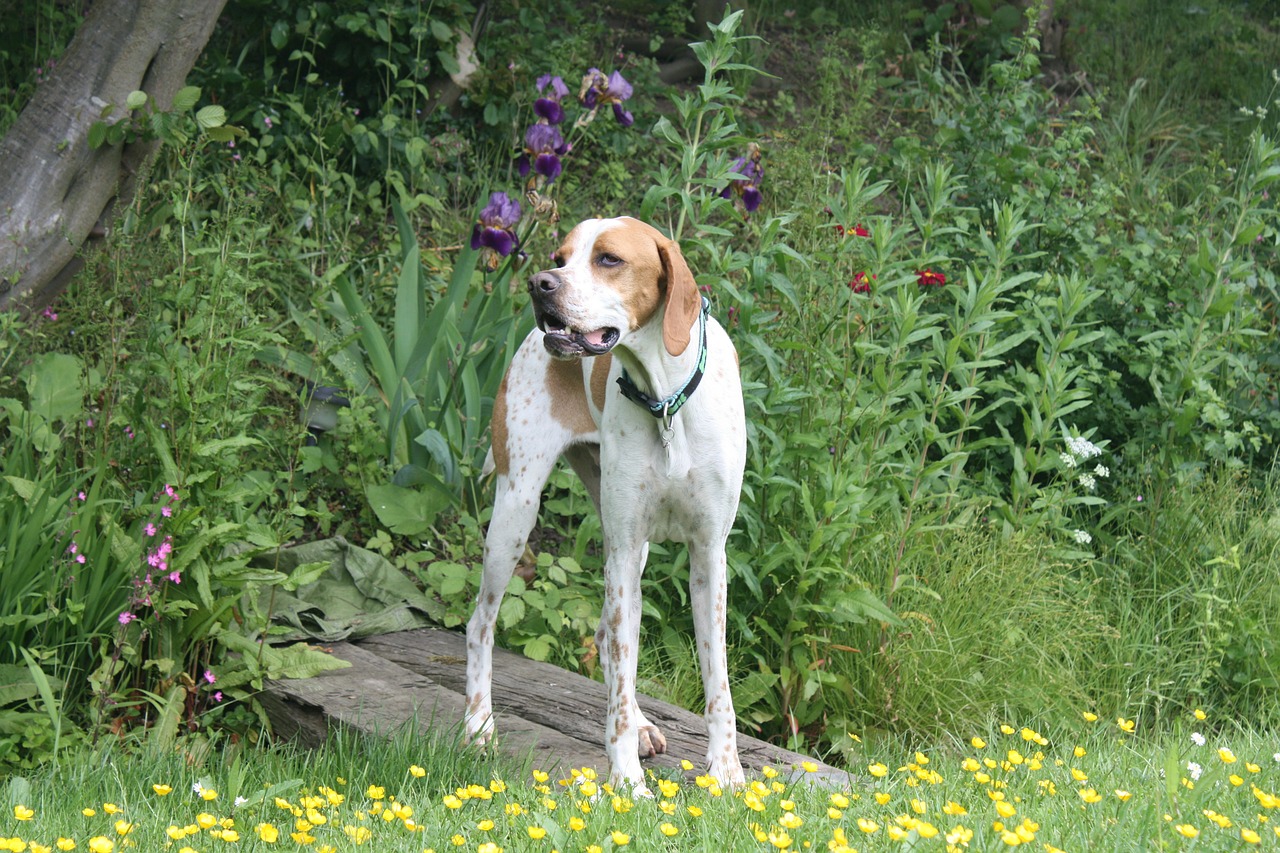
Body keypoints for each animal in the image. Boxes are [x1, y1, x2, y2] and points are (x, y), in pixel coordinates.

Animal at [465, 216, 747, 788]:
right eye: (561, 256)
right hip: (515, 516)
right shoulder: (622, 549)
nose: (541, 283)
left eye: (610, 259)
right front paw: (627, 784)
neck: (666, 401)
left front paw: (726, 772)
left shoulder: (709, 556)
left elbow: (718, 684)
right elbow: (618, 681)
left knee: (606, 637)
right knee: (481, 624)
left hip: (625, 551)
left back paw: (641, 725)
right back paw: (479, 725)